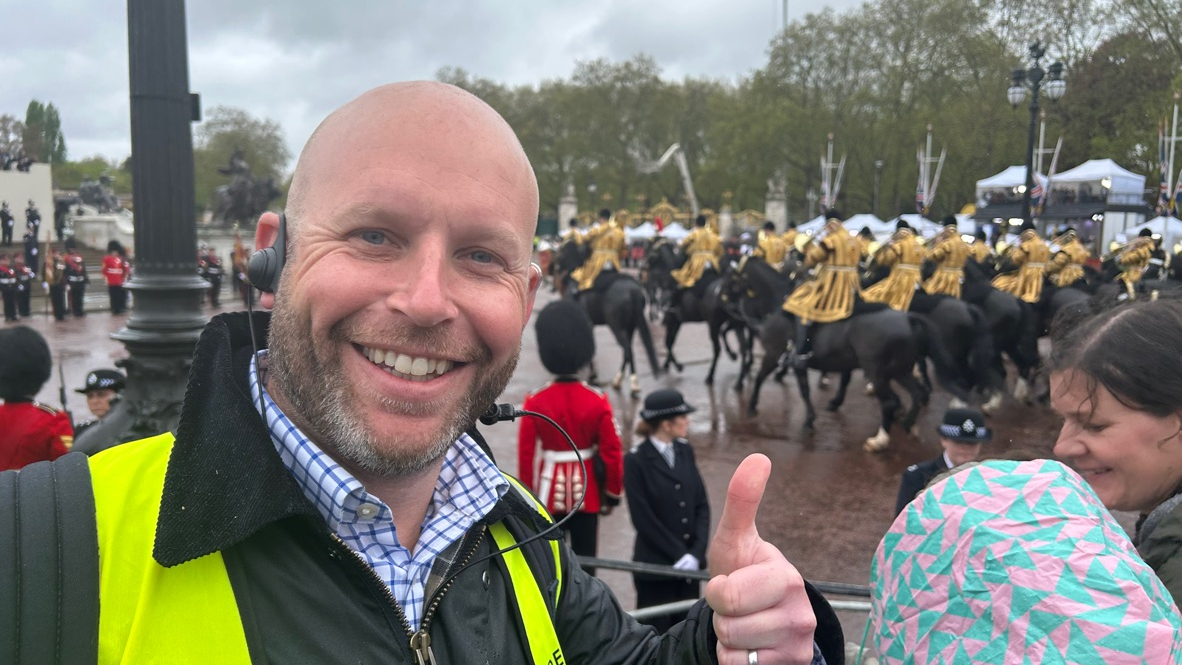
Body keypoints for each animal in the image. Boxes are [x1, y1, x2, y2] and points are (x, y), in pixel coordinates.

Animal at [550, 238, 661, 394]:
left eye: (559, 253)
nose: (554, 269)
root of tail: (633, 289)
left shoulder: (582, 323)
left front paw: (591, 373)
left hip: (615, 325)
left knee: (627, 350)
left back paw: (628, 381)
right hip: (631, 326)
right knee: (628, 350)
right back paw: (623, 380)